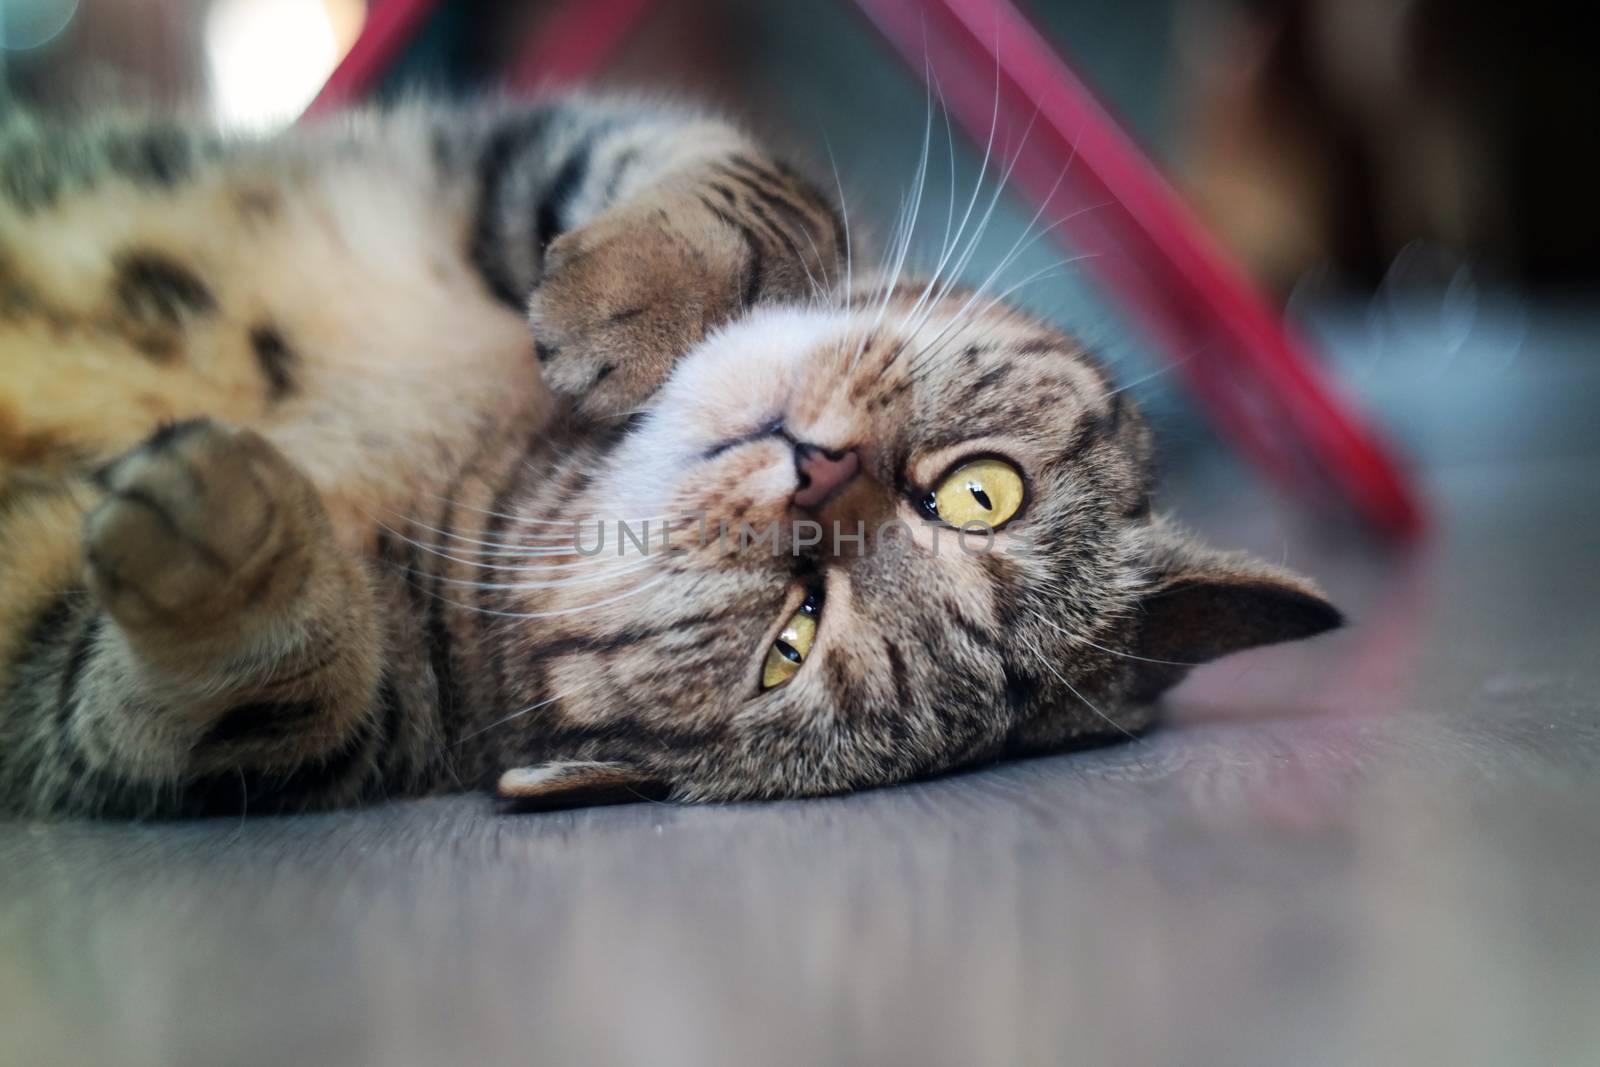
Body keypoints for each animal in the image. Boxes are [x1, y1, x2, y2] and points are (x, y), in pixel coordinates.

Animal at [0, 95, 1337, 825]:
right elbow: (751, 188)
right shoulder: (517, 155)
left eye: (790, 640)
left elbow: (261, 676)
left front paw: (242, 532)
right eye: (980, 491)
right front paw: (636, 294)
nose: (819, 474)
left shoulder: (165, 717)